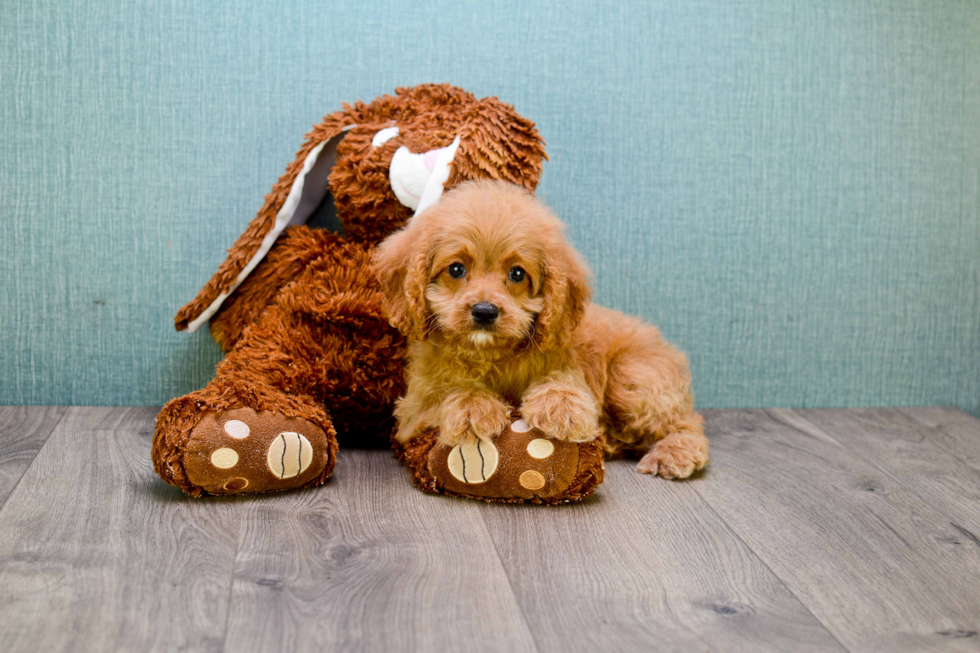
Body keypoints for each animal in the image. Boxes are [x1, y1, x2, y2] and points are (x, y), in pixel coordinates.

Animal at [372, 181, 708, 476]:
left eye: (517, 274)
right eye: (456, 269)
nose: (484, 311)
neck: (490, 355)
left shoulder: (570, 364)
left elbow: (565, 379)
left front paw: (560, 406)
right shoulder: (412, 408)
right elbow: (443, 392)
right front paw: (472, 406)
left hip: (633, 378)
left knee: (687, 423)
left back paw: (673, 453)